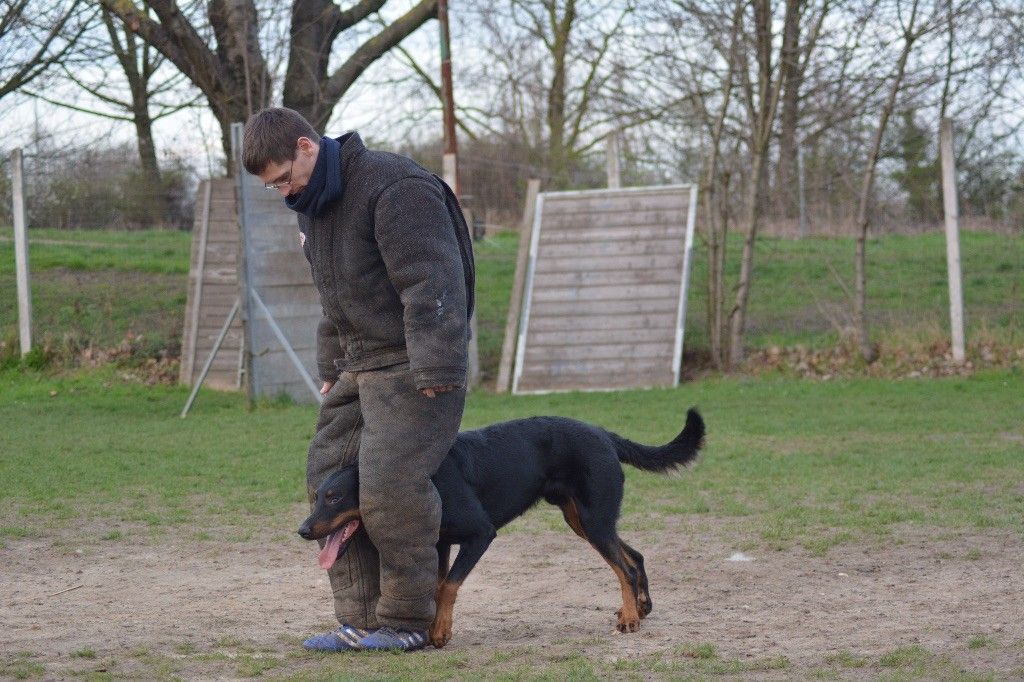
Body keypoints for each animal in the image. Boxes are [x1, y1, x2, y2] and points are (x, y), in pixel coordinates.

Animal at [299, 405, 704, 647]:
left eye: (334, 497)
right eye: (317, 496)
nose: (303, 530)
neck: (427, 482)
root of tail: (604, 434)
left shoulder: (481, 535)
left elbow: (449, 586)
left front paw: (440, 632)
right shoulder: (442, 543)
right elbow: (436, 585)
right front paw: (430, 630)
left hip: (594, 521)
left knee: (624, 567)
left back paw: (631, 619)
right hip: (585, 521)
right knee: (634, 557)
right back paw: (639, 608)